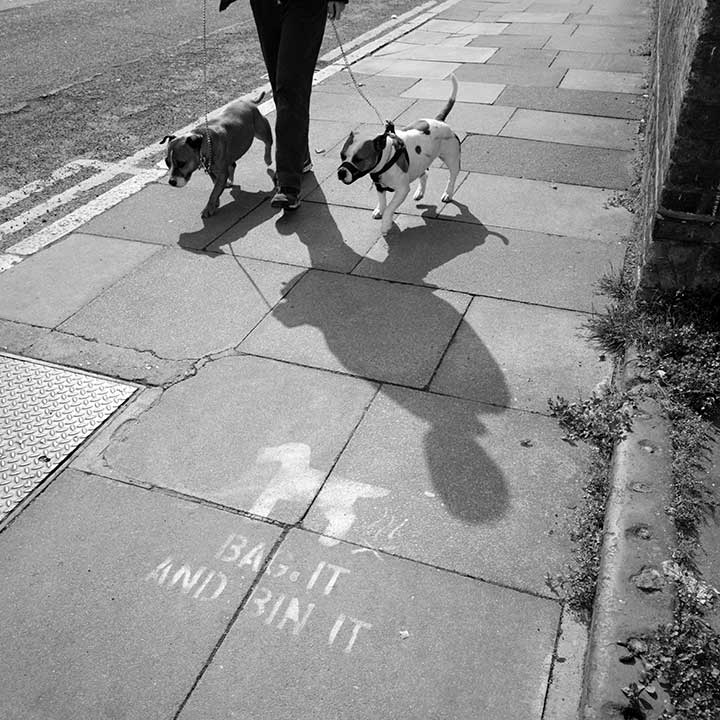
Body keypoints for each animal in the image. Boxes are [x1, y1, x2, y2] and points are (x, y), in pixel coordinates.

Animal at [338, 74, 462, 235]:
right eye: (342, 156)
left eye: (358, 159)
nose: (341, 172)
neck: (386, 159)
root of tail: (439, 120)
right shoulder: (379, 186)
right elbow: (382, 201)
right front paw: (379, 210)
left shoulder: (402, 190)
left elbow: (390, 207)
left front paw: (385, 224)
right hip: (420, 161)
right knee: (424, 173)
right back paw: (420, 192)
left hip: (452, 158)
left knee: (452, 176)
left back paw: (448, 193)